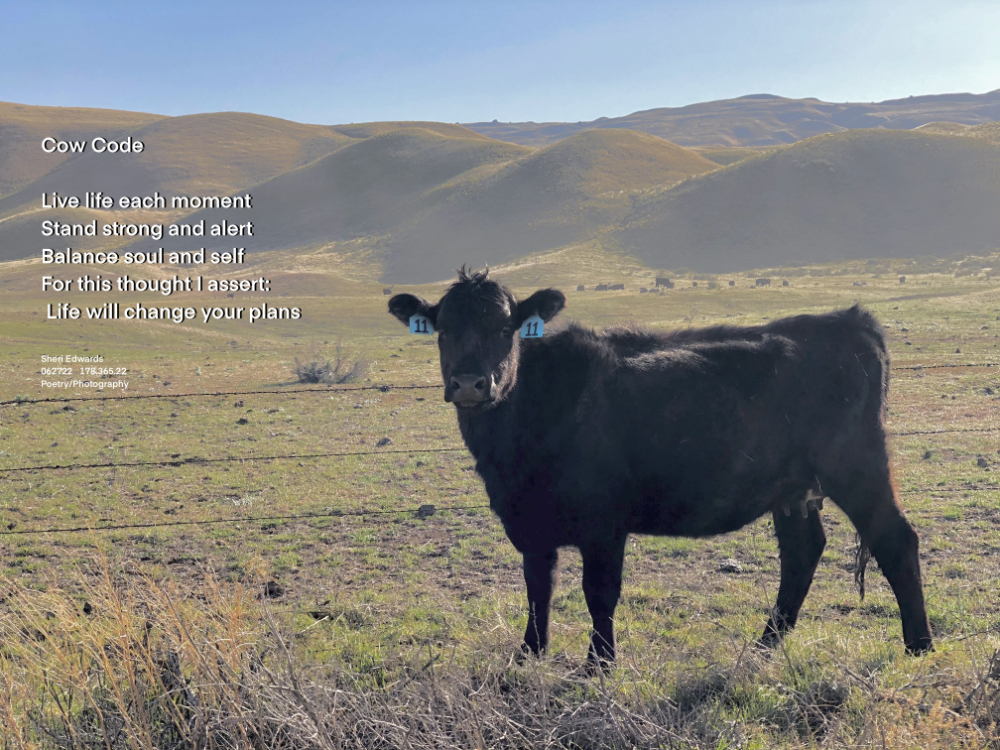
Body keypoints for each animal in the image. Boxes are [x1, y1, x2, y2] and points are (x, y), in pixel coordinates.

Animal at [388, 268, 933, 669]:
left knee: (895, 540)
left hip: (855, 462)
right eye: (444, 330)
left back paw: (919, 647)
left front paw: (598, 666)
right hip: (793, 487)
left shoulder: (603, 522)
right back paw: (764, 647)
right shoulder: (529, 522)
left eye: (506, 329)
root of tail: (849, 321)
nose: (469, 384)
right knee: (803, 552)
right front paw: (528, 657)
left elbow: (599, 593)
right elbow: (537, 588)